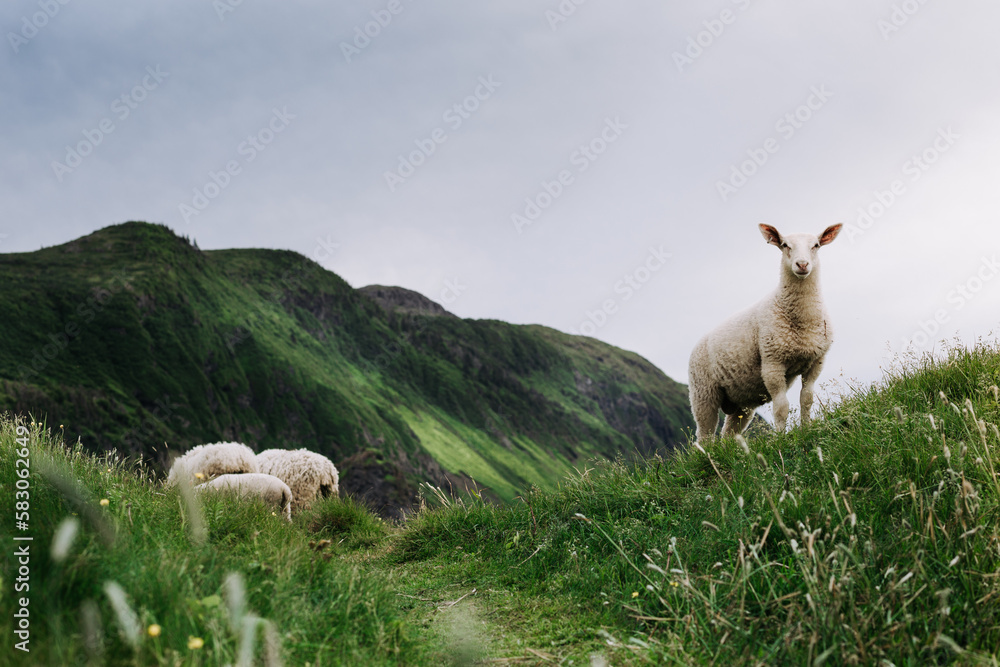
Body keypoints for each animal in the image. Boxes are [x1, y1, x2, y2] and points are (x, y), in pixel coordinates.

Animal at [688, 223, 842, 443]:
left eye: (816, 245)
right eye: (785, 245)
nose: (802, 264)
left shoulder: (816, 362)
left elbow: (807, 400)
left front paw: (806, 430)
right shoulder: (772, 363)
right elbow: (781, 408)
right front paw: (780, 439)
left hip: (742, 401)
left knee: (728, 433)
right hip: (703, 393)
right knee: (704, 436)